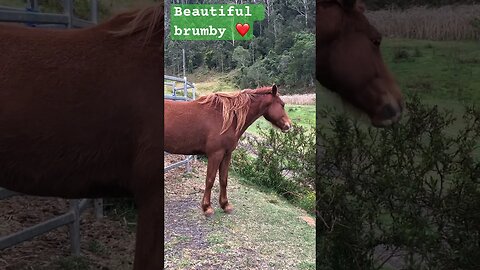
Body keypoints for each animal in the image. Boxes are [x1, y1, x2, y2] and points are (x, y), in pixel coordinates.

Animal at [165, 85, 292, 216]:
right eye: (282, 105)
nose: (289, 125)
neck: (226, 118)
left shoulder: (227, 154)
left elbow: (223, 180)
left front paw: (225, 205)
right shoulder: (215, 154)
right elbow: (210, 180)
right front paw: (207, 207)